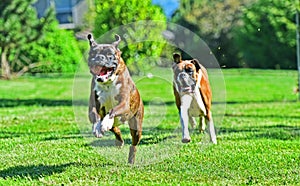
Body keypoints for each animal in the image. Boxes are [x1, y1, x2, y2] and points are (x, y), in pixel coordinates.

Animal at [86, 33, 144, 164]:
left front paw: (104, 123)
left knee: (133, 145)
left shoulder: (124, 104)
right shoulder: (93, 105)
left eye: (110, 54)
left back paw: (131, 161)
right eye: (93, 53)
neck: (107, 82)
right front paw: (97, 128)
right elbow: (95, 115)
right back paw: (118, 140)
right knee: (115, 129)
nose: (99, 57)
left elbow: (113, 110)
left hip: (136, 127)